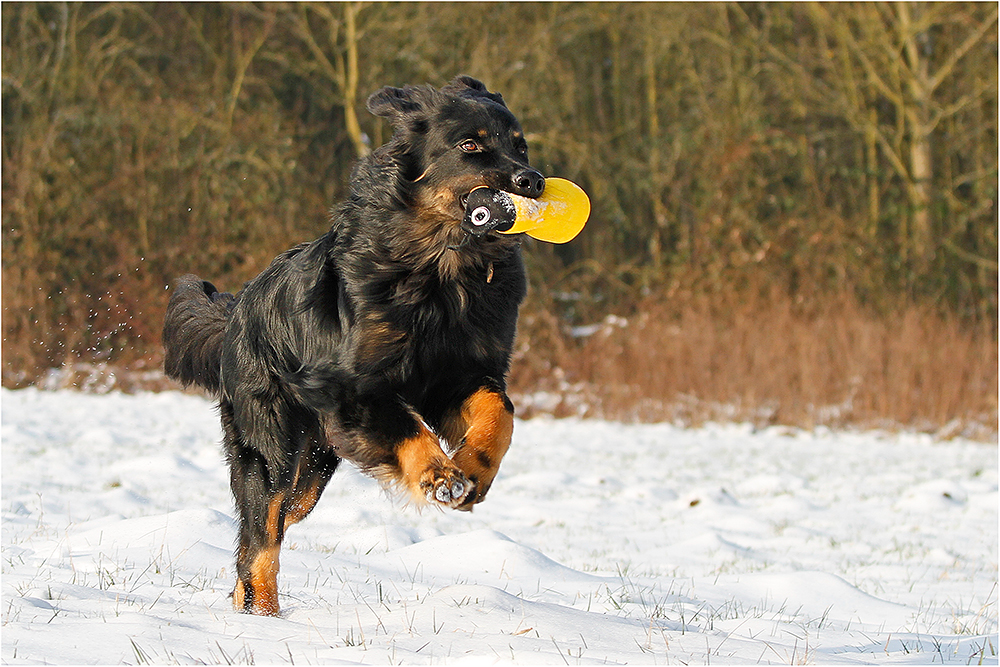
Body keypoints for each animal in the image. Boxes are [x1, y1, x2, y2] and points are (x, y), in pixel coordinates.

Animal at [162, 75, 548, 620]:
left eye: (521, 146)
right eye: (470, 146)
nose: (533, 181)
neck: (442, 269)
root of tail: (239, 310)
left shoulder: (461, 375)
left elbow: (501, 413)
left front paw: (474, 469)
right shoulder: (351, 389)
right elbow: (407, 426)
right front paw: (438, 474)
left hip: (314, 468)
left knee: (267, 531)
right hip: (273, 452)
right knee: (260, 541)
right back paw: (263, 618)